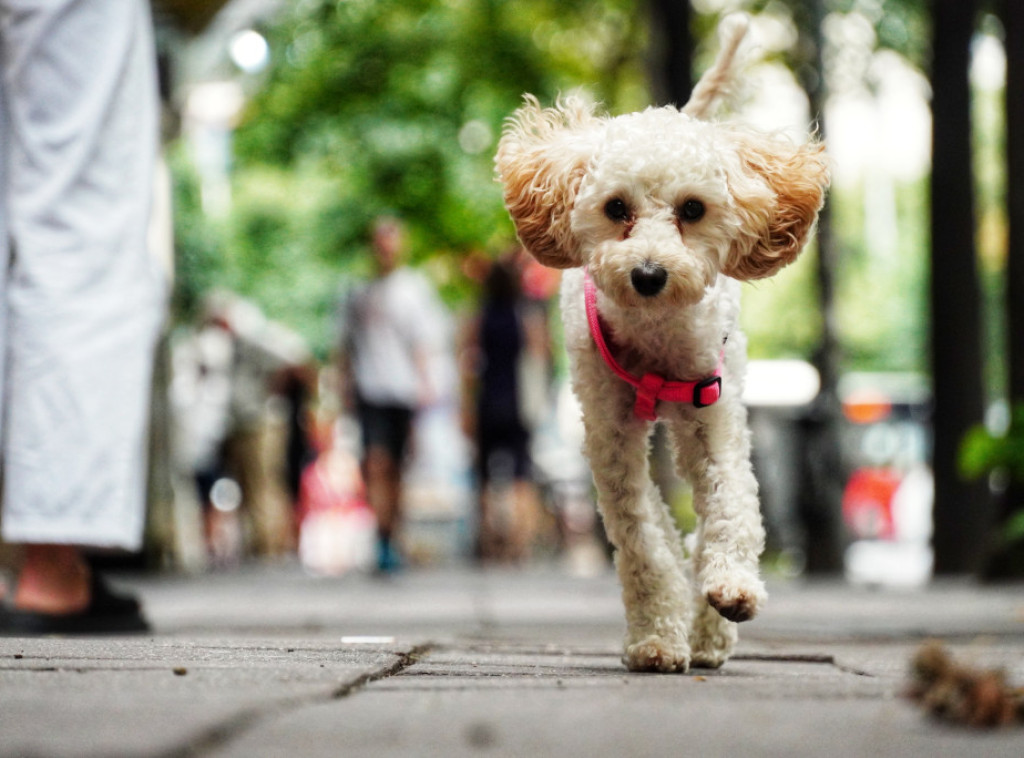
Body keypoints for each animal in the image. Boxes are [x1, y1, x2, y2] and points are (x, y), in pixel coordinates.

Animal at [497, 16, 831, 667]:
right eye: (616, 207)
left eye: (693, 209)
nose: (648, 274)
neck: (653, 339)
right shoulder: (609, 434)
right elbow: (642, 537)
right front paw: (655, 635)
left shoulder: (711, 411)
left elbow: (732, 501)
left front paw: (731, 589)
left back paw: (710, 631)